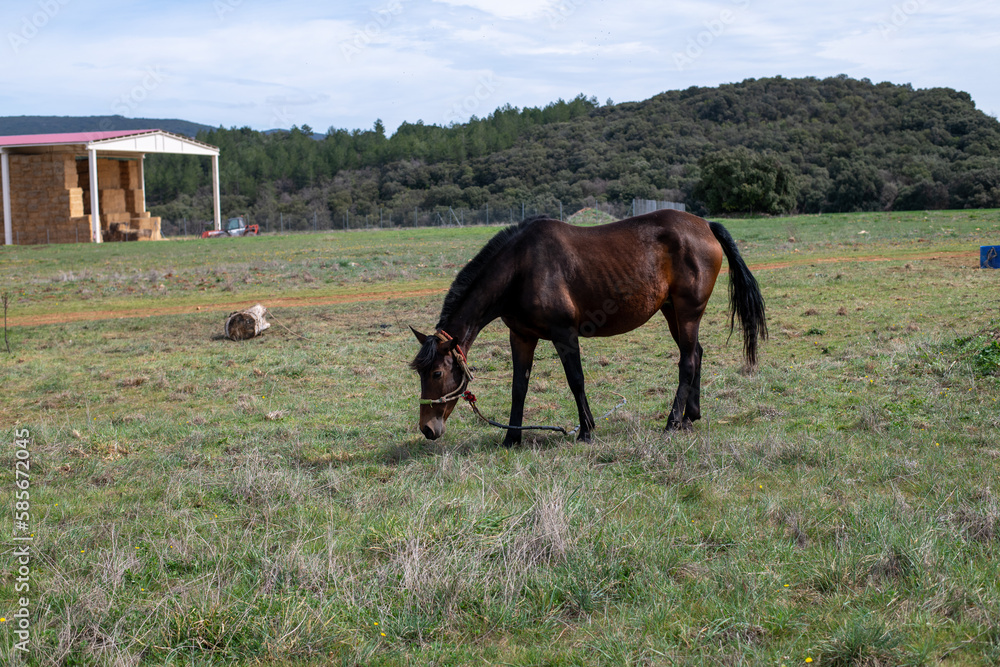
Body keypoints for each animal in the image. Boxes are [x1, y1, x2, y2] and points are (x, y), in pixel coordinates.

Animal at [410, 211, 768, 446]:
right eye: (420, 373)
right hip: (672, 313)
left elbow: (576, 380)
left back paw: (671, 423)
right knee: (696, 353)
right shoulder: (522, 337)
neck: (521, 267)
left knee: (688, 362)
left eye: (437, 373)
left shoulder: (564, 334)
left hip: (688, 312)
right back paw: (689, 416)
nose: (427, 429)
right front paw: (512, 438)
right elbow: (519, 387)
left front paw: (586, 431)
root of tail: (706, 225)